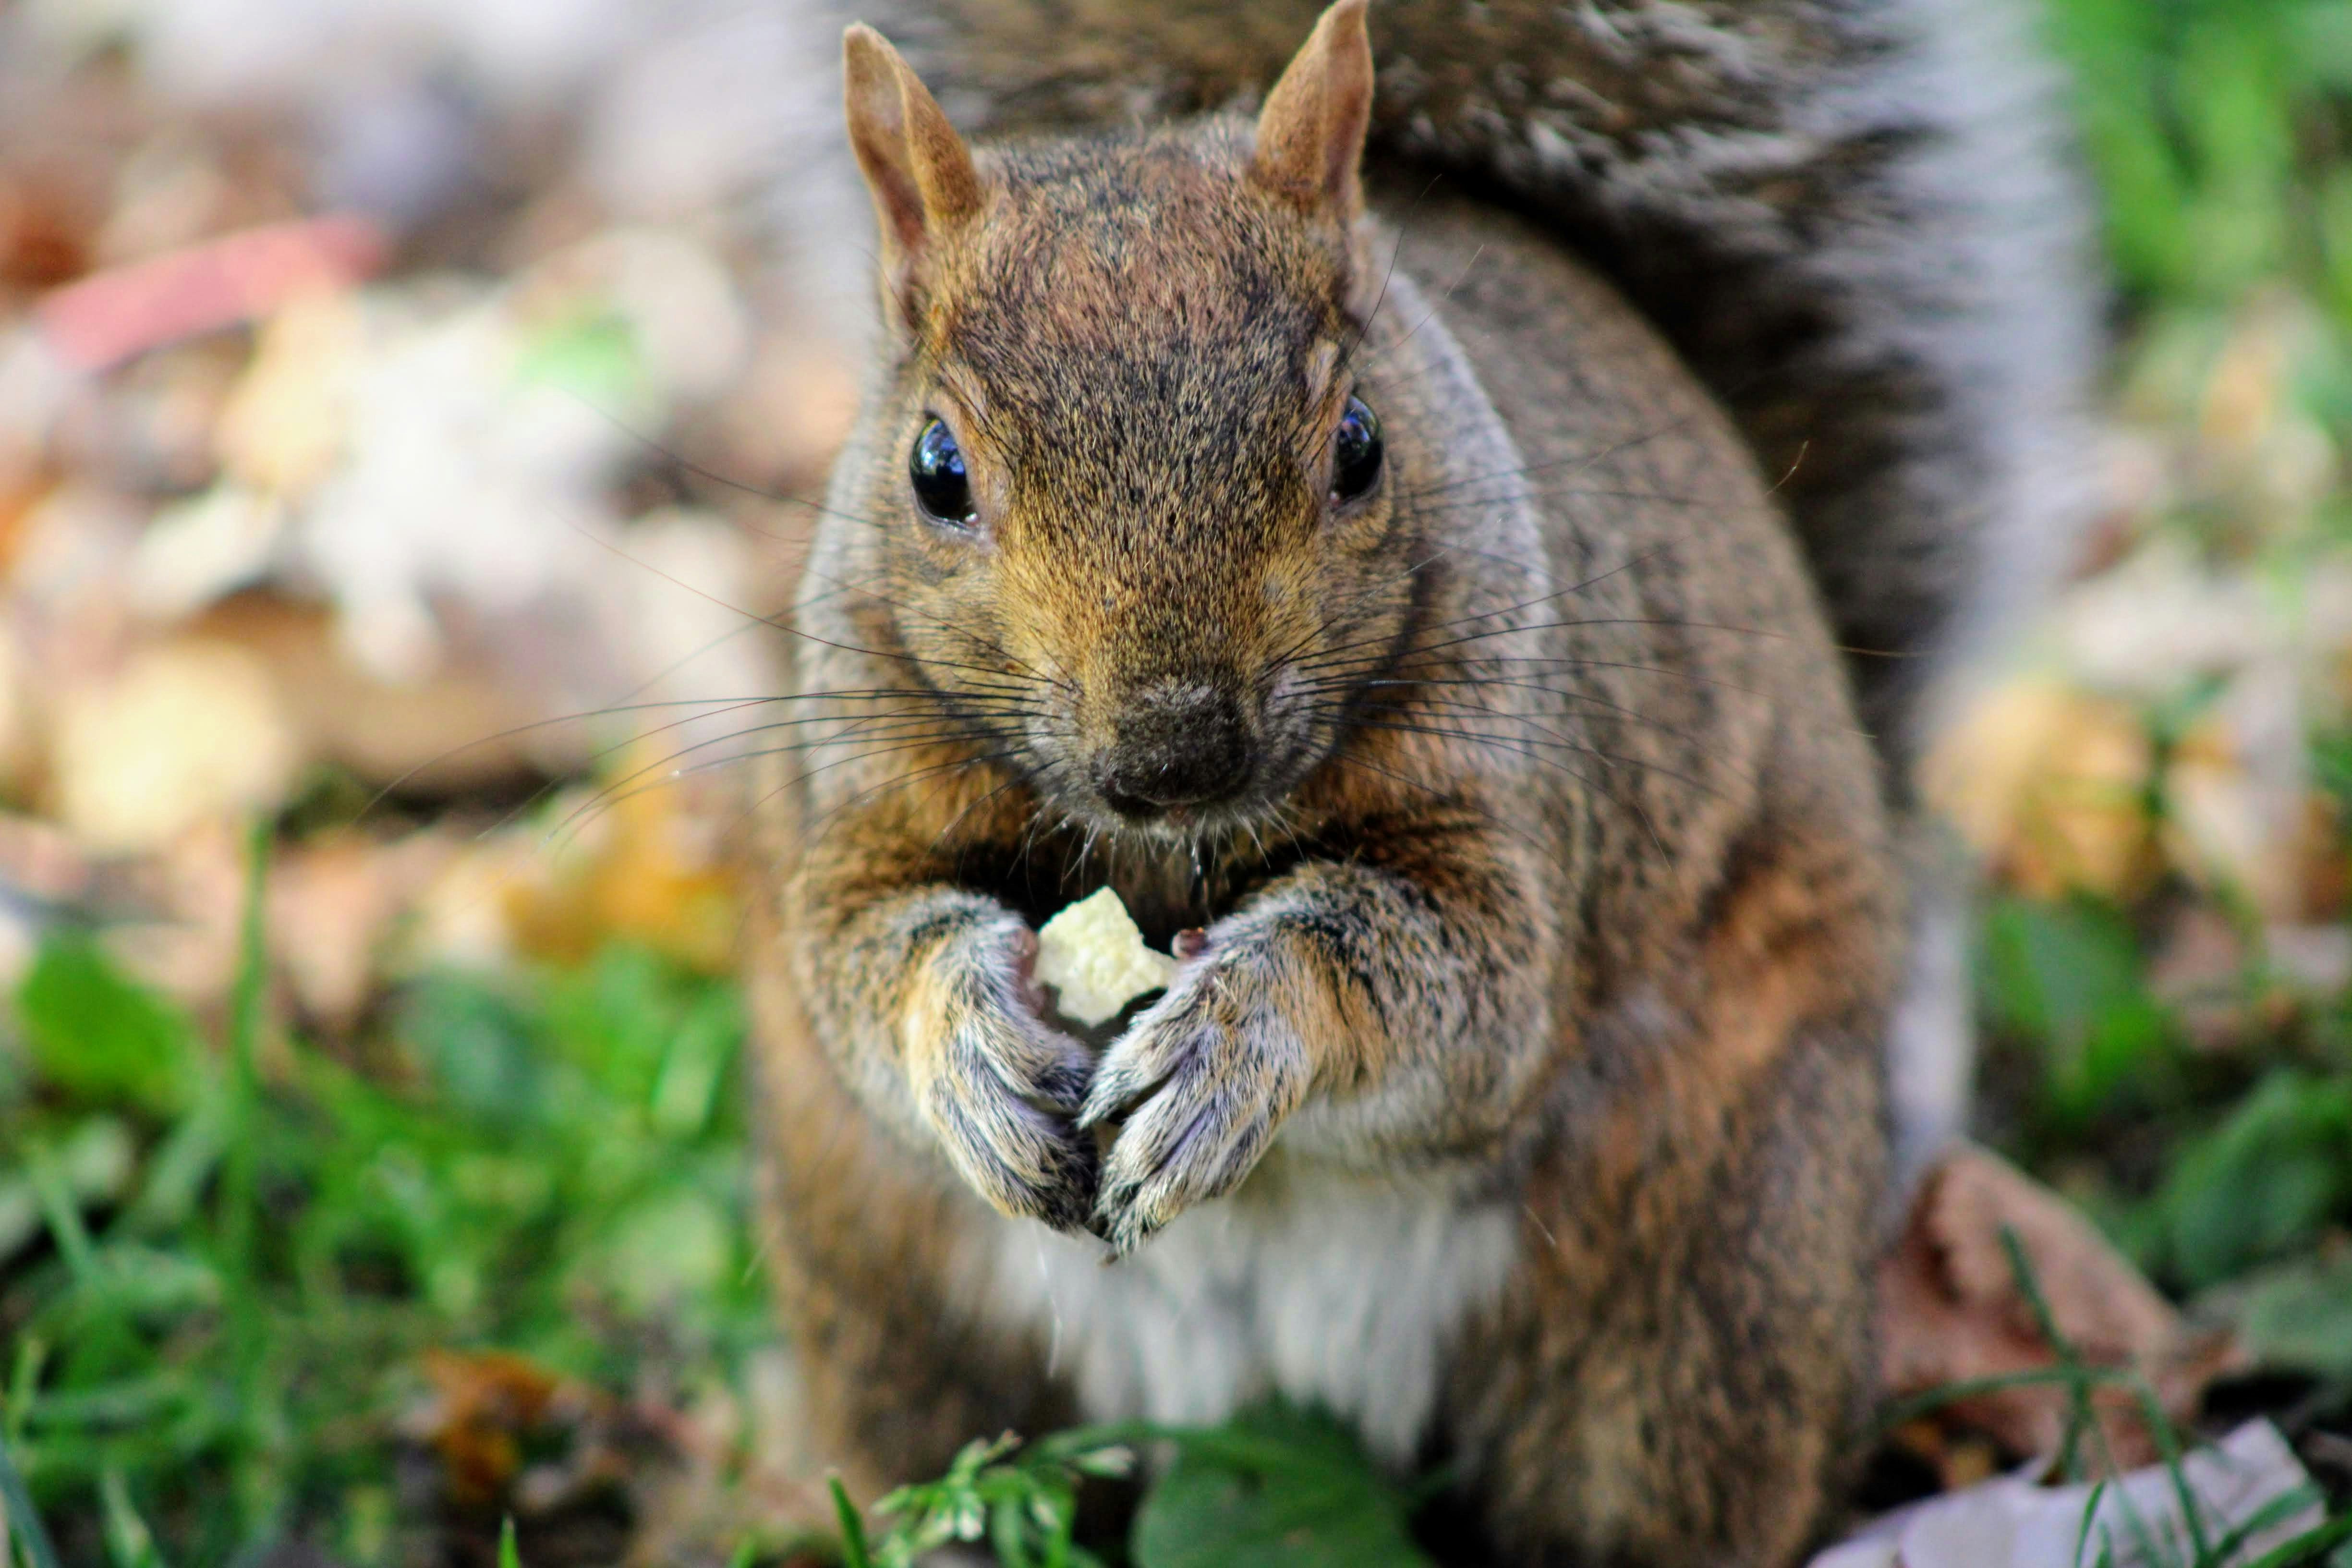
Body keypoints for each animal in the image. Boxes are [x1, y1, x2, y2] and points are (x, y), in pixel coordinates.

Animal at [741, 1, 2094, 1563]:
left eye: (1360, 445)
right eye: (934, 469)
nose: (1174, 751)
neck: (1179, 853)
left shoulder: (1521, 801)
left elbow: (1457, 989)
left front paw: (1236, 1041)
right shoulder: (858, 793)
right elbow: (856, 953)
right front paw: (969, 1045)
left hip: (1709, 1281)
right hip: (903, 1318)